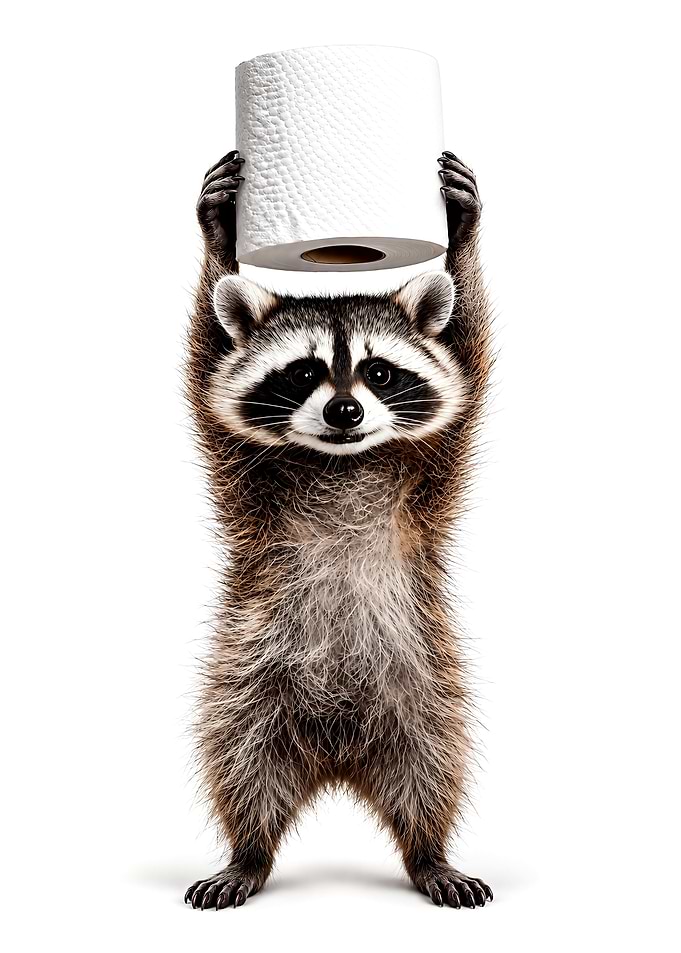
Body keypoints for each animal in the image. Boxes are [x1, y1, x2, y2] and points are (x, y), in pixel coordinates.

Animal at [184, 150, 493, 909]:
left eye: (379, 371)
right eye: (303, 374)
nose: (345, 412)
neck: (340, 461)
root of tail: (337, 752)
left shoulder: (430, 473)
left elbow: (467, 356)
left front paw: (464, 237)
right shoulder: (244, 474)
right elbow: (208, 360)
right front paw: (216, 236)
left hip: (421, 690)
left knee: (432, 769)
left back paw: (429, 850)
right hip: (249, 685)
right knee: (240, 764)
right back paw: (248, 851)